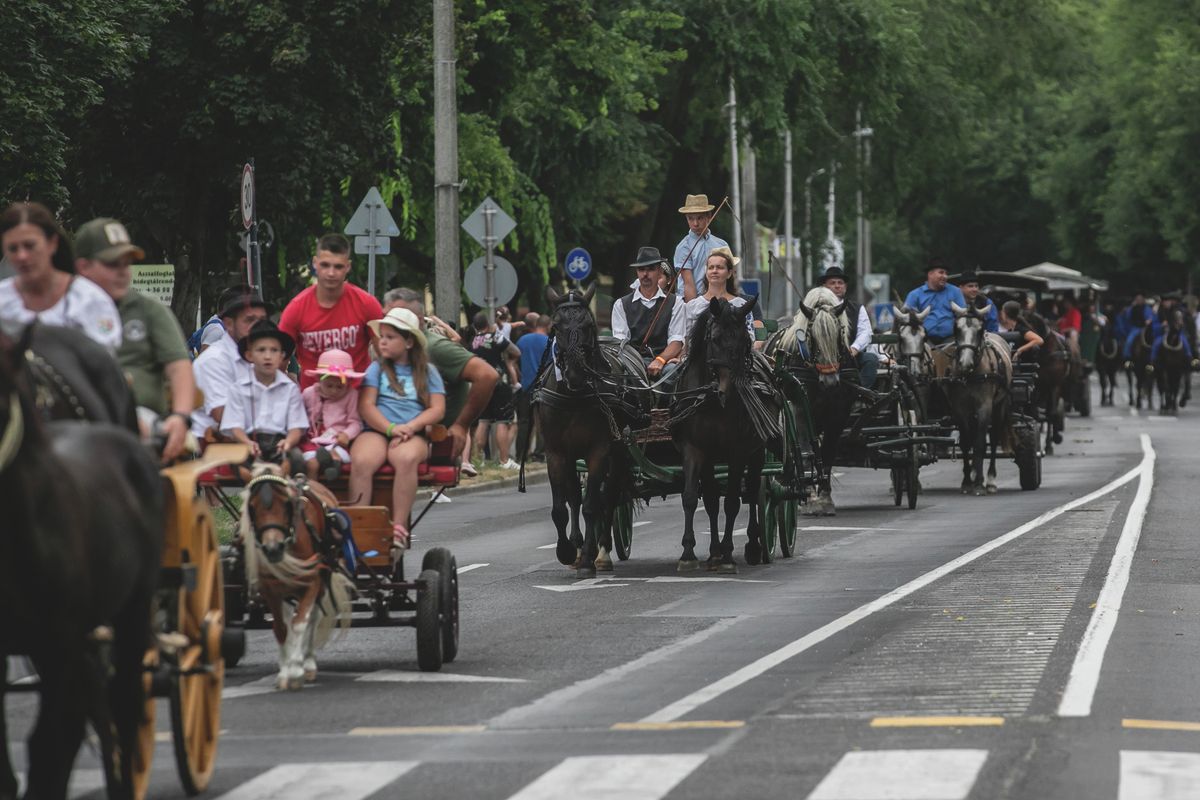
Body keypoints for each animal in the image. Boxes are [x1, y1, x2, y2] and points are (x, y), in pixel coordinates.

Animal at [238, 465, 350, 690]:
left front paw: (297, 670)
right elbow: (281, 628)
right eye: (252, 506)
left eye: (286, 503)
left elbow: (301, 623)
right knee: (291, 616)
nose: (273, 548)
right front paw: (284, 672)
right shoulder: (270, 589)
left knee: (312, 618)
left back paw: (308, 663)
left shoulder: (312, 582)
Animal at [532, 284, 648, 578]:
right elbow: (562, 506)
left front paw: (587, 558)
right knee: (576, 495)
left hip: (619, 453)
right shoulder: (556, 452)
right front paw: (567, 550)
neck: (575, 395)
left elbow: (593, 504)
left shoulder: (599, 451)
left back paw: (602, 551)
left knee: (610, 496)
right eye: (555, 326)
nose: (574, 371)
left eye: (587, 325)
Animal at [672, 297, 782, 573]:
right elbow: (697, 498)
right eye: (715, 338)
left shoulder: (737, 452)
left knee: (753, 492)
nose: (729, 390)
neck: (711, 400)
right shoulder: (696, 450)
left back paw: (753, 545)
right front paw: (694, 553)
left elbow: (732, 502)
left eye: (744, 340)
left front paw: (728, 554)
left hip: (757, 452)